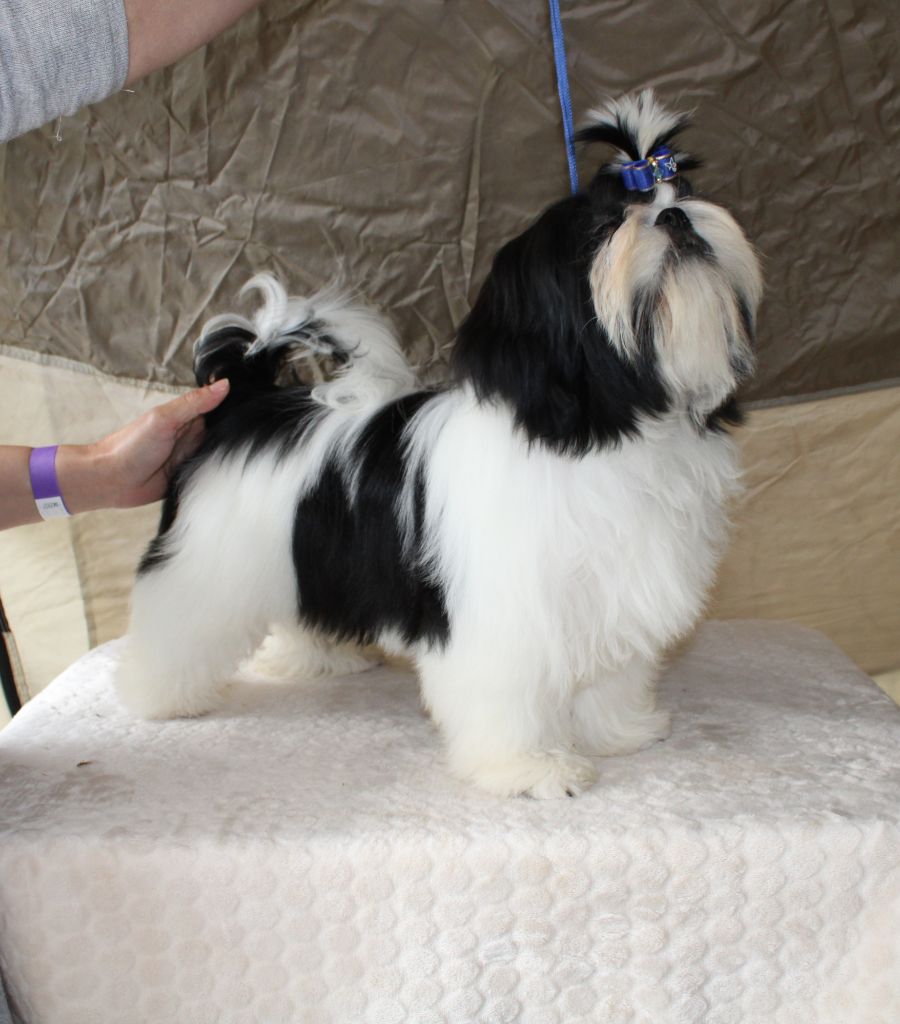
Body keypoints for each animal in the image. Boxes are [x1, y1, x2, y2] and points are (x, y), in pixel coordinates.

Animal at [116, 91, 762, 799]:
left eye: (683, 189)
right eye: (601, 230)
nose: (673, 213)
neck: (600, 429)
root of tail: (247, 397)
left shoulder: (608, 590)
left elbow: (608, 677)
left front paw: (618, 732)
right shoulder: (505, 610)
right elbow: (508, 692)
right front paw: (531, 766)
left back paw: (311, 662)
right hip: (205, 561)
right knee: (178, 623)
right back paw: (159, 695)